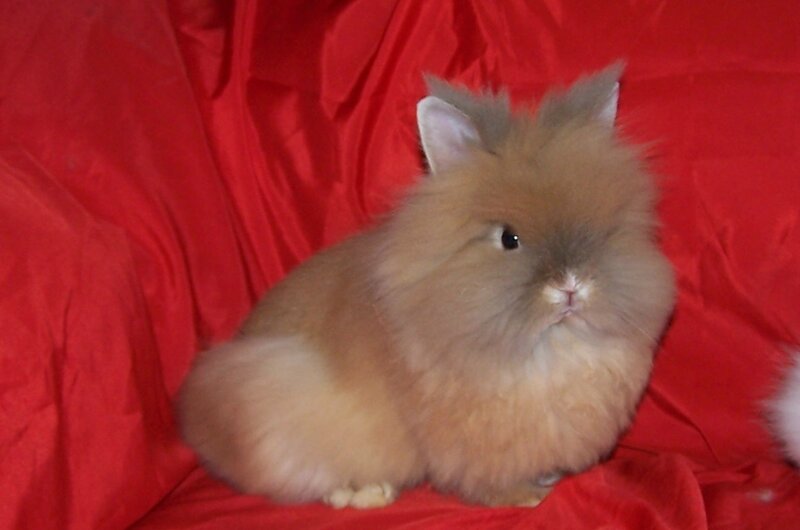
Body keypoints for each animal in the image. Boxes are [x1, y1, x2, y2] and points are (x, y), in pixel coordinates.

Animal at [177, 63, 676, 509]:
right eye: (509, 238)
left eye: (606, 230)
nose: (571, 287)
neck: (549, 348)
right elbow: (490, 479)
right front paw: (527, 497)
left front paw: (546, 479)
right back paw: (366, 494)